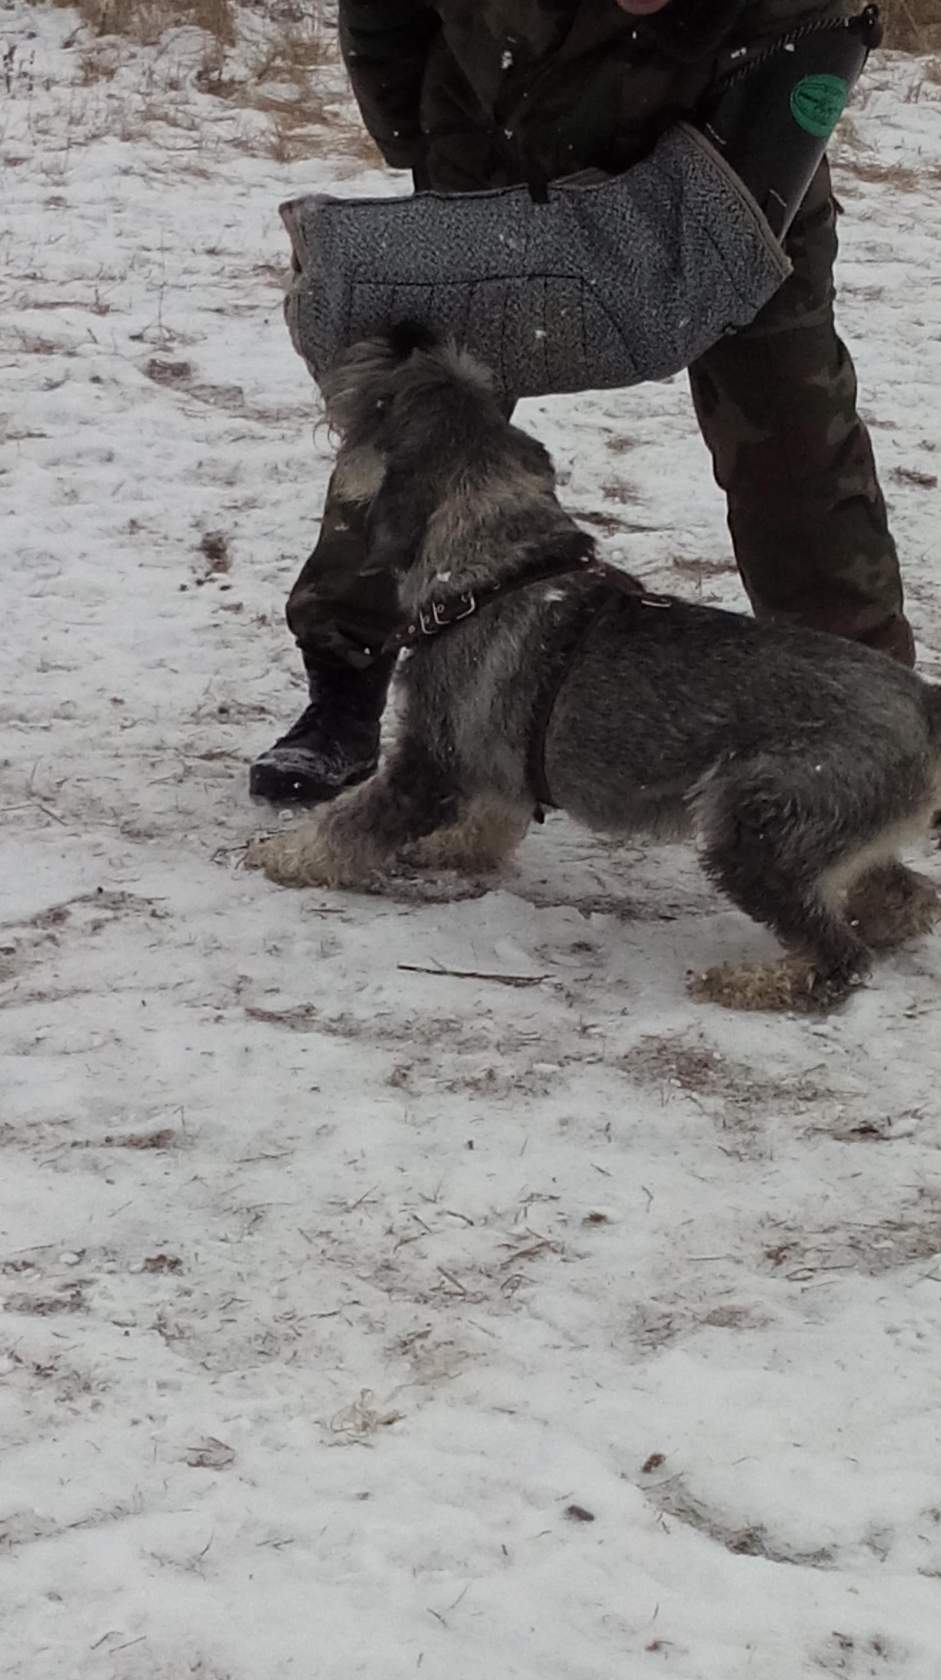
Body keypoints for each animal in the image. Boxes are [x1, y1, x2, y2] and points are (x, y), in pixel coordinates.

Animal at [248, 329, 941, 1011]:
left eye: (384, 402)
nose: (401, 335)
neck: (492, 565)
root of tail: (925, 705)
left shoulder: (430, 760)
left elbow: (353, 823)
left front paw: (284, 855)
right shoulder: (493, 762)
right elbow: (494, 818)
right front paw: (454, 848)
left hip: (760, 828)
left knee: (839, 958)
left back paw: (751, 982)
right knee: (902, 895)